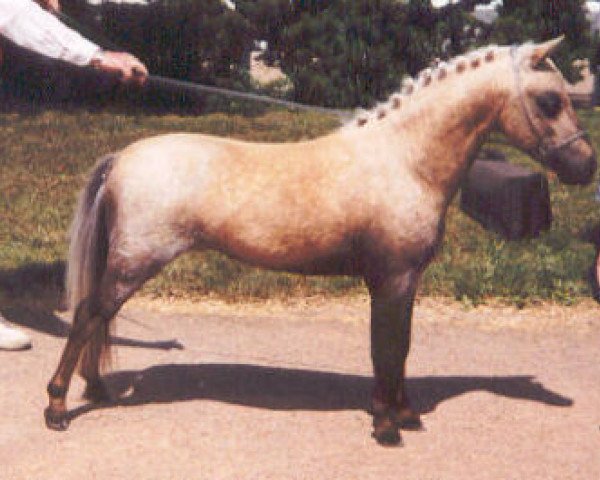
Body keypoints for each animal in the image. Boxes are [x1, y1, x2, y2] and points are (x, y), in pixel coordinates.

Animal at [45, 38, 596, 446]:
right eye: (550, 100)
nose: (585, 167)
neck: (404, 159)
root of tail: (122, 157)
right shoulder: (391, 279)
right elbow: (386, 349)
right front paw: (387, 426)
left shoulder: (405, 282)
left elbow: (401, 347)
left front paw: (405, 414)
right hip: (135, 262)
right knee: (88, 315)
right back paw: (57, 407)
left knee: (99, 318)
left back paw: (96, 389)